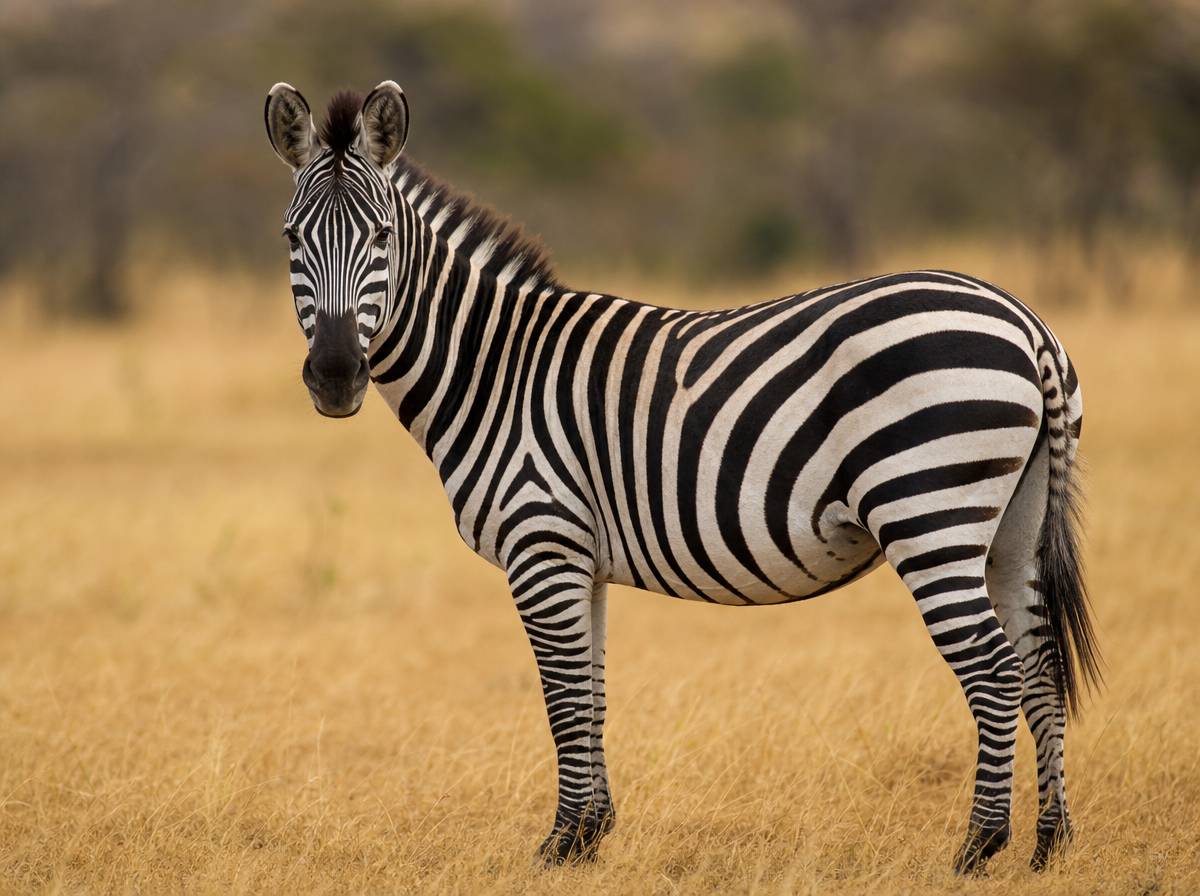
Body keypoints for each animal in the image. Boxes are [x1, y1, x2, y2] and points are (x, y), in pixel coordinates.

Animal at [264, 81, 1101, 875]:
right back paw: (1050, 845)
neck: (494, 366)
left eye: (380, 237)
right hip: (1013, 527)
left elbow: (563, 696)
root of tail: (1025, 322)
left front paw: (559, 845)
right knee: (1039, 666)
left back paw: (978, 848)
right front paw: (591, 835)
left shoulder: (541, 542)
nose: (335, 377)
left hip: (929, 510)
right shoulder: (580, 559)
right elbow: (593, 691)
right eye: (291, 239)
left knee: (993, 669)